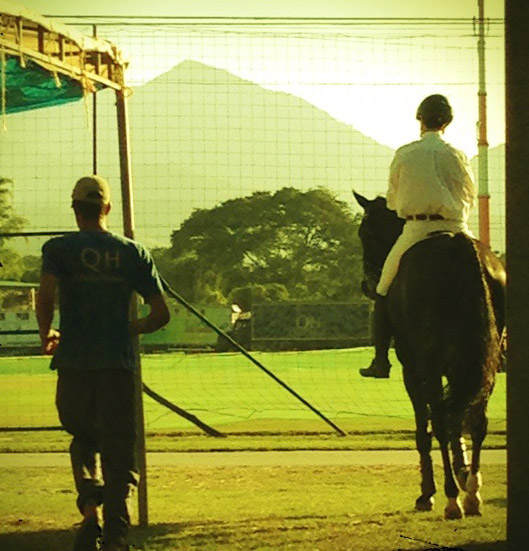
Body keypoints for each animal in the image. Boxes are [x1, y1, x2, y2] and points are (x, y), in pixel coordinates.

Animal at [352, 192, 506, 520]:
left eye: (364, 232)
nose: (367, 284)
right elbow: (458, 419)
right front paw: (463, 472)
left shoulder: (412, 369)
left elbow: (424, 428)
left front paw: (427, 493)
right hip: (484, 362)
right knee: (477, 420)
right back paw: (472, 494)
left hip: (430, 362)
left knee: (440, 421)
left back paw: (452, 500)